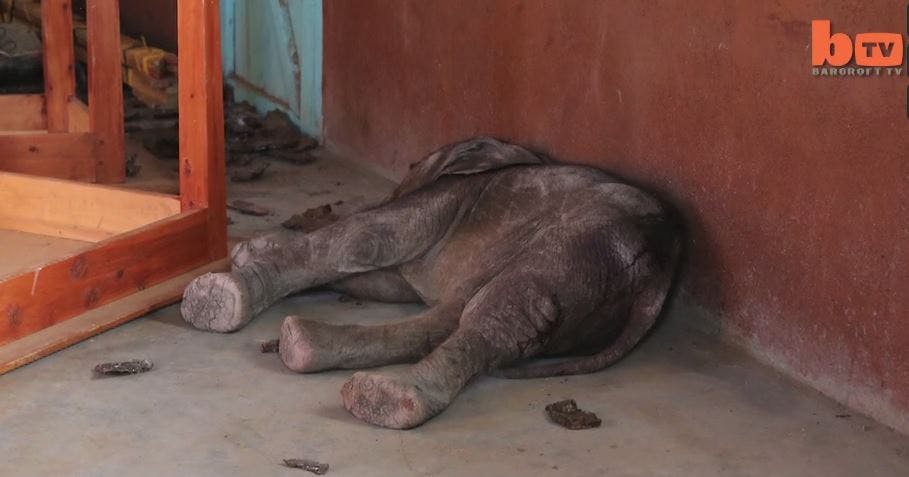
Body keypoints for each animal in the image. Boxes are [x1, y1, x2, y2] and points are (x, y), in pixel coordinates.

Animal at [179, 137, 680, 428]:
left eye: (412, 166)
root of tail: (656, 279)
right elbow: (377, 278)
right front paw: (250, 251)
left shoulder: (453, 197)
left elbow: (366, 240)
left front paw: (231, 284)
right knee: (459, 315)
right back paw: (308, 347)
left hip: (578, 247)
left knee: (501, 310)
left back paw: (387, 399)